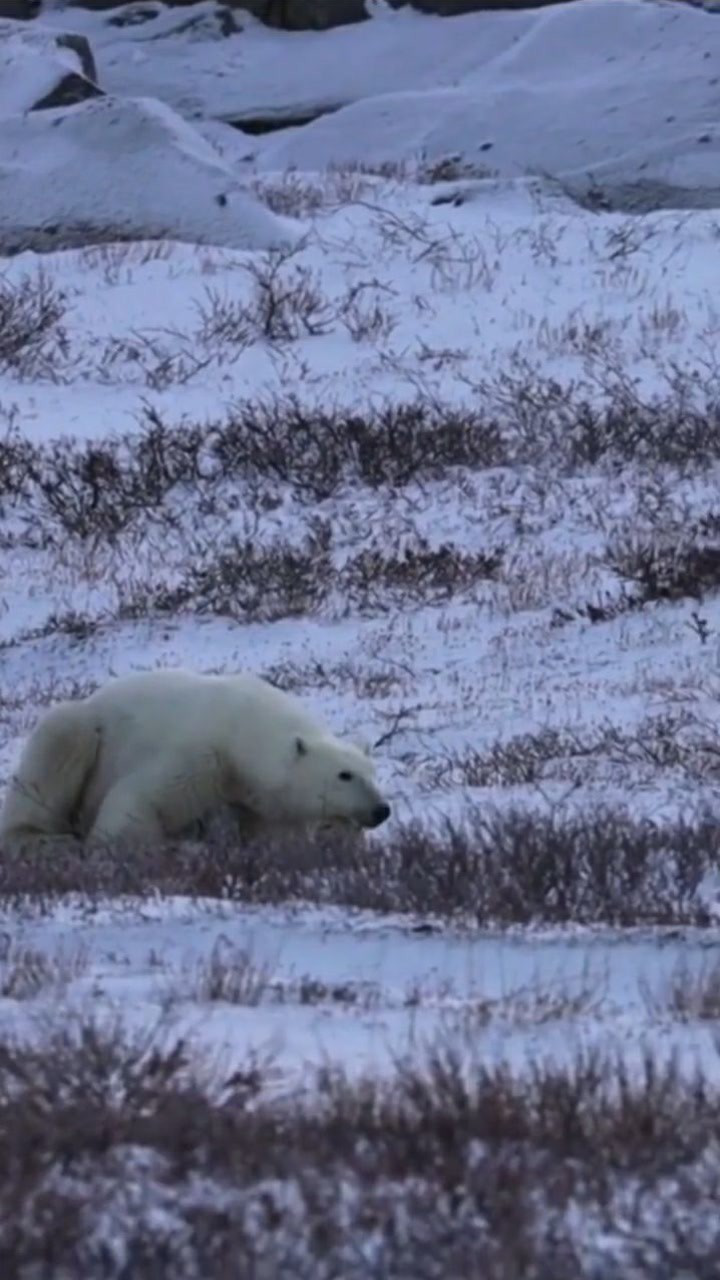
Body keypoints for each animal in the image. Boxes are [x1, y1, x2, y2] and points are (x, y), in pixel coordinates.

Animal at [0, 670, 389, 849]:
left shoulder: (261, 799)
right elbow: (140, 798)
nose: (381, 809)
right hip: (85, 730)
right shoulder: (202, 754)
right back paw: (40, 839)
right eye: (344, 775)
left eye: (373, 773)